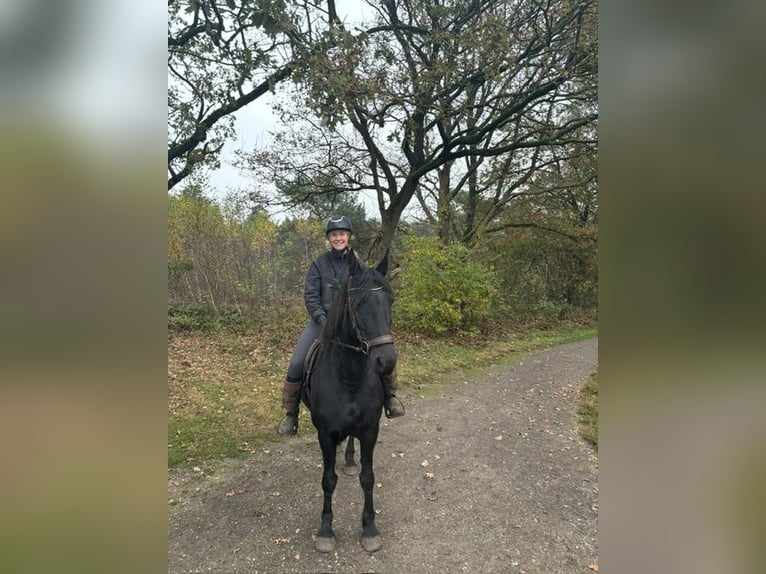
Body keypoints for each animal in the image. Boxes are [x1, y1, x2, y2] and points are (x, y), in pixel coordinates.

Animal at [302, 250, 396, 556]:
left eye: (391, 301)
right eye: (359, 303)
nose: (387, 362)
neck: (349, 375)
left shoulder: (369, 430)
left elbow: (368, 477)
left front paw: (369, 529)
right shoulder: (325, 434)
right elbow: (328, 480)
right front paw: (325, 531)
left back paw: (351, 459)